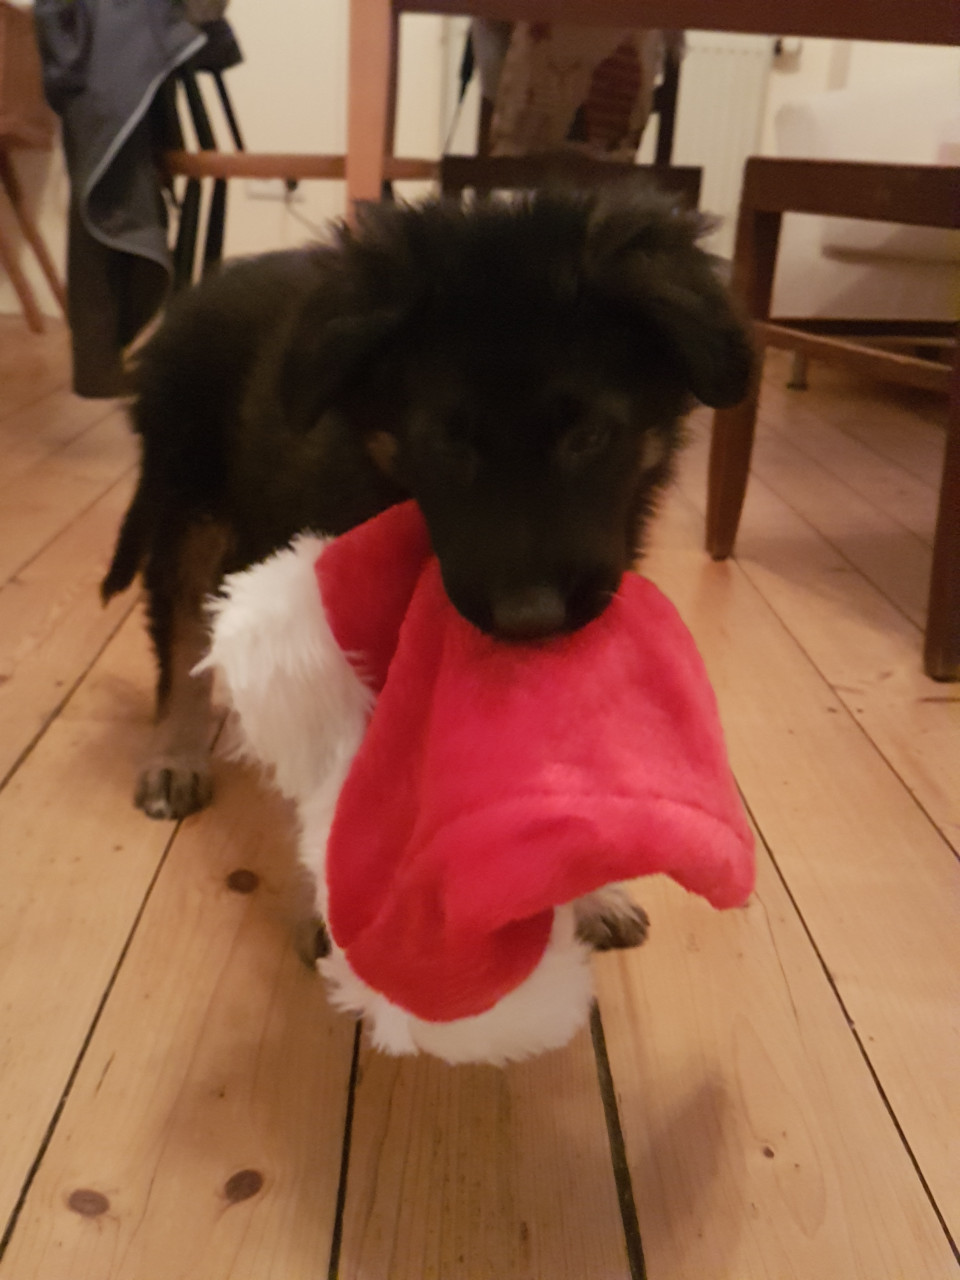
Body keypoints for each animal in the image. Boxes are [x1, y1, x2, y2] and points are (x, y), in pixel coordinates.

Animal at [102, 188, 752, 947]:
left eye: (591, 436)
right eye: (447, 442)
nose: (529, 620)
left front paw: (587, 892)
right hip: (190, 501)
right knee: (178, 627)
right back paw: (174, 755)